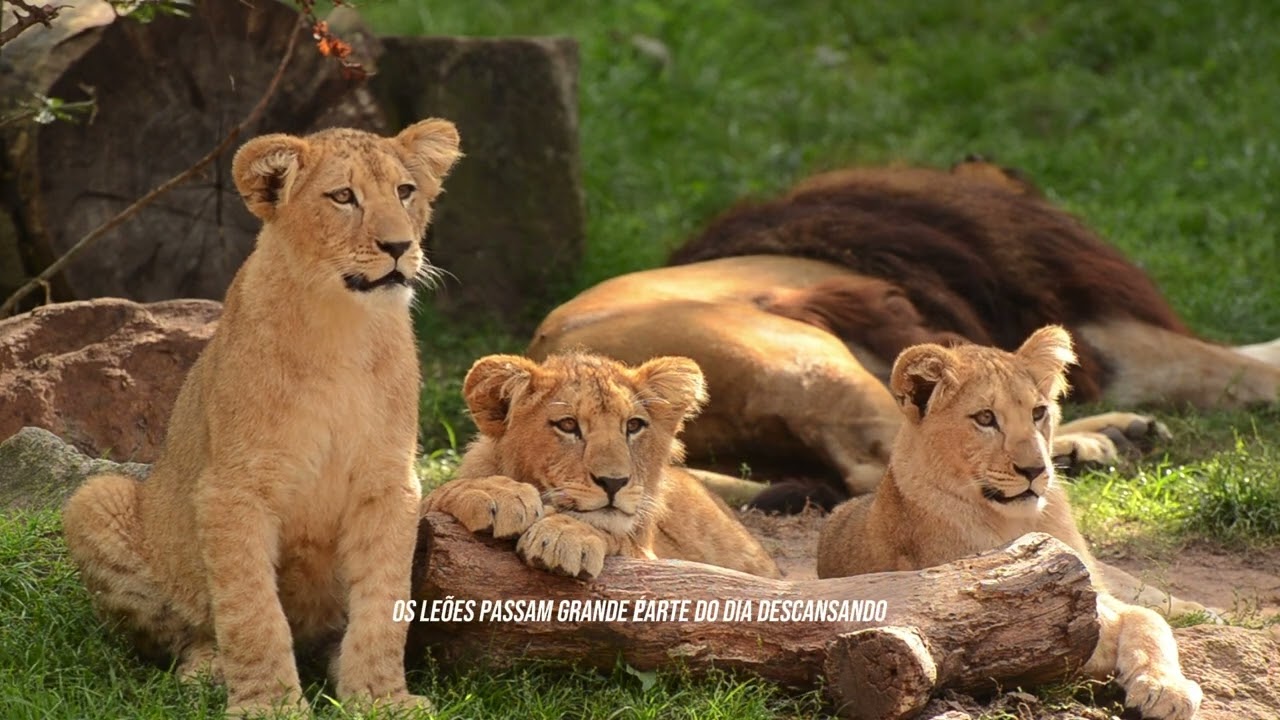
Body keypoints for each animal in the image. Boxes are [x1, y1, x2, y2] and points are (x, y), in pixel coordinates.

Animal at [61, 119, 461, 717]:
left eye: (405, 191)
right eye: (343, 197)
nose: (399, 247)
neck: (342, 329)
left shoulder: (390, 486)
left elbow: (384, 600)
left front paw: (379, 697)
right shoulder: (233, 488)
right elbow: (250, 609)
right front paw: (269, 704)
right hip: (95, 499)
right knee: (186, 632)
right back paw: (207, 668)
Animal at [422, 351, 782, 579]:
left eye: (633, 426)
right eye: (568, 425)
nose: (614, 482)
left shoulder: (651, 557)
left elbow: (616, 535)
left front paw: (565, 536)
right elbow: (433, 497)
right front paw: (497, 493)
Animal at [815, 326, 1202, 720]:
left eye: (1038, 412)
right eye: (985, 418)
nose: (1035, 470)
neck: (1018, 522)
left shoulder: (1101, 593)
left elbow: (1149, 620)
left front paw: (1165, 687)